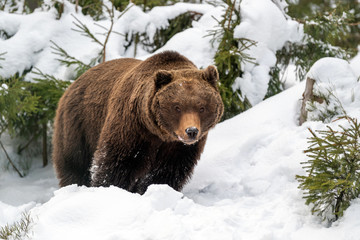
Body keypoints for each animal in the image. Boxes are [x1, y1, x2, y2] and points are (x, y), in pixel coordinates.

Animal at [52, 51, 224, 195]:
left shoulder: (179, 148)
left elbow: (168, 172)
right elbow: (116, 164)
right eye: (177, 107)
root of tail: (72, 85)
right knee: (75, 164)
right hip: (78, 125)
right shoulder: (132, 129)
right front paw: (110, 189)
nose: (191, 131)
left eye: (202, 107)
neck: (160, 133)